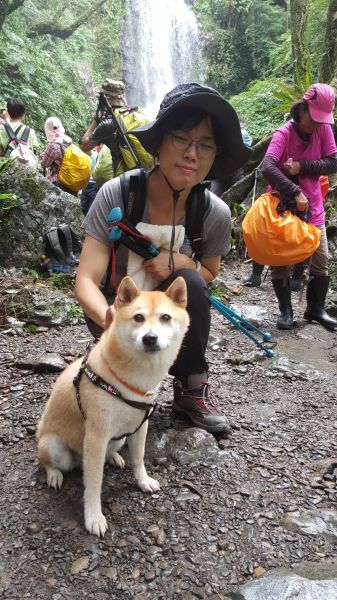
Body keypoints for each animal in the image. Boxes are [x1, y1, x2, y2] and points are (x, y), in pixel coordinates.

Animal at [37, 278, 189, 540]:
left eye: (165, 318)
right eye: (138, 317)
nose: (150, 338)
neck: (134, 379)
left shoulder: (140, 426)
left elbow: (138, 458)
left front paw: (143, 481)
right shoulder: (96, 436)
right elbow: (94, 483)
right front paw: (94, 517)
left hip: (120, 438)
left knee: (111, 451)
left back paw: (115, 457)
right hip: (53, 445)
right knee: (48, 460)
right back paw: (54, 474)